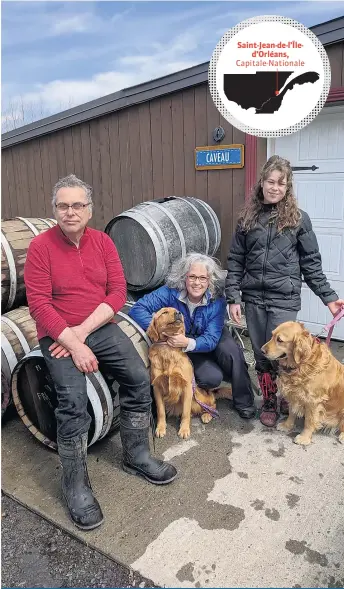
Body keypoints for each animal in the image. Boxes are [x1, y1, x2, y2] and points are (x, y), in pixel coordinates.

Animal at [146, 308, 232, 436]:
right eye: (164, 312)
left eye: (176, 310)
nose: (178, 313)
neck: (168, 348)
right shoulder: (157, 387)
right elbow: (160, 411)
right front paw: (161, 427)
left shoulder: (187, 387)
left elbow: (185, 412)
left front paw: (184, 429)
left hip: (196, 398)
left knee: (211, 404)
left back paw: (207, 414)